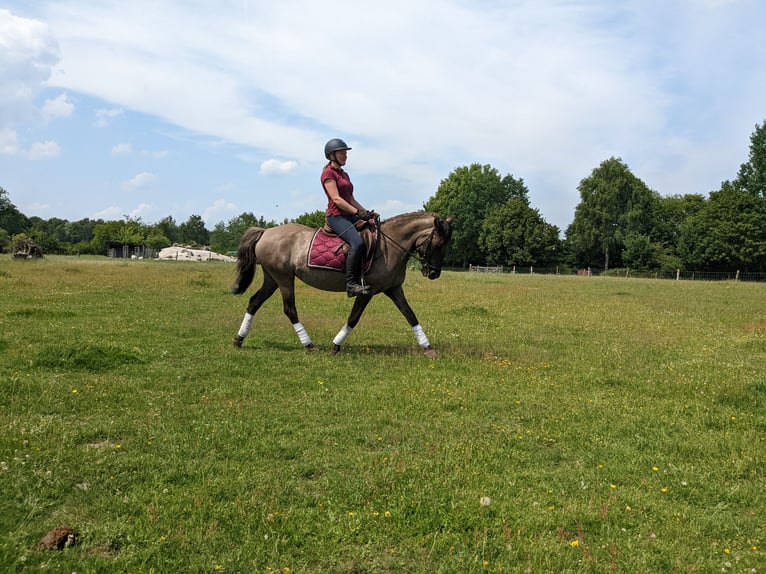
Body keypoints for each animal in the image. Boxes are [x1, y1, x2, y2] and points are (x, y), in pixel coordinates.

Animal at [231, 212, 452, 358]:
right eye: (438, 244)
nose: (434, 273)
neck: (389, 247)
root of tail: (266, 231)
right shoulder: (367, 292)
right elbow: (353, 318)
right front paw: (336, 346)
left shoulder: (393, 289)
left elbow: (410, 315)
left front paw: (428, 348)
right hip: (284, 278)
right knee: (289, 309)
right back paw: (308, 345)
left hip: (272, 278)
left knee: (254, 302)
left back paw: (239, 339)